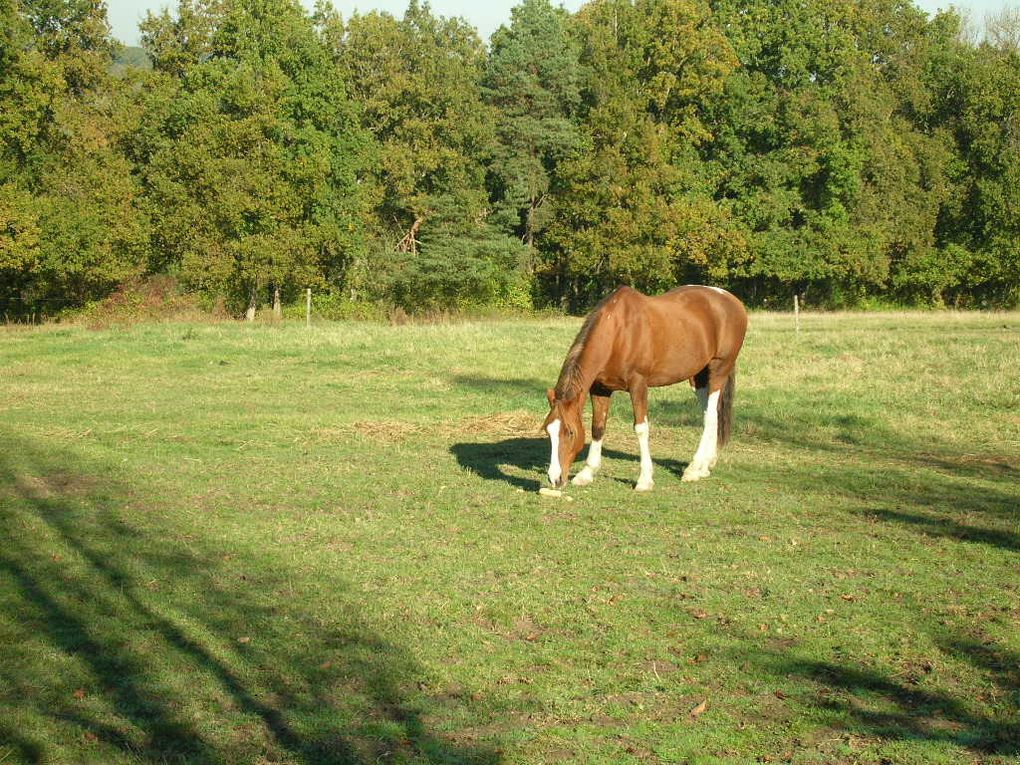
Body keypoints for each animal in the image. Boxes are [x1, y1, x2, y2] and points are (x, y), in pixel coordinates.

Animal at [542, 285, 750, 491]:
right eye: (547, 430)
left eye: (570, 432)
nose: (555, 478)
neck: (618, 332)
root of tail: (732, 300)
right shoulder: (600, 389)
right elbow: (598, 427)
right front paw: (587, 473)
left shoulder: (638, 385)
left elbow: (641, 428)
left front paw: (644, 479)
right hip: (698, 378)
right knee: (710, 412)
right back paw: (705, 466)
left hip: (718, 370)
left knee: (711, 416)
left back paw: (693, 469)